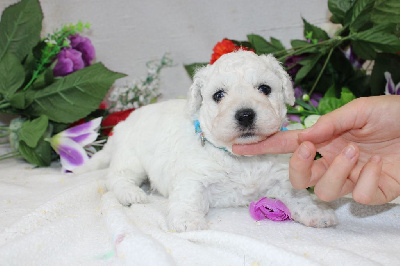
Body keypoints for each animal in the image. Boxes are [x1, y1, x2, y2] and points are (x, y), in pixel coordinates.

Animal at [78, 51, 338, 232]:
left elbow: (299, 197)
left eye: (264, 89)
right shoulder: (193, 176)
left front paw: (317, 213)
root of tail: (122, 125)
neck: (243, 158)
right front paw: (187, 221)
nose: (245, 115)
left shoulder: (282, 179)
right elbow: (188, 197)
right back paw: (131, 194)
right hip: (131, 158)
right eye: (219, 95)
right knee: (116, 177)